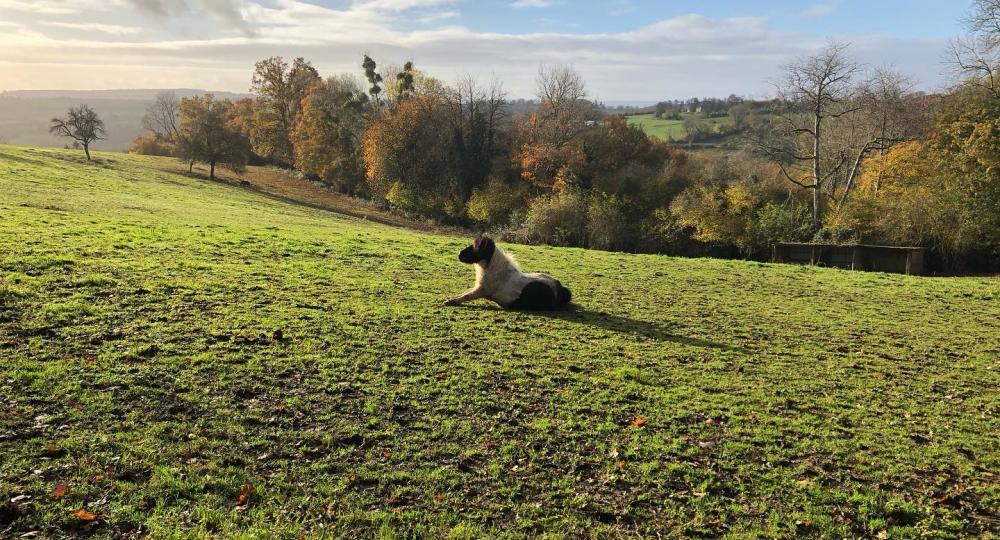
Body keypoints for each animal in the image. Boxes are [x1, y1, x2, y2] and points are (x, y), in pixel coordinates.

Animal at [444, 235, 572, 310]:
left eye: (476, 247)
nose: (459, 254)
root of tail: (559, 287)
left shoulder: (482, 291)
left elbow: (466, 296)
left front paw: (450, 302)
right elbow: (465, 292)